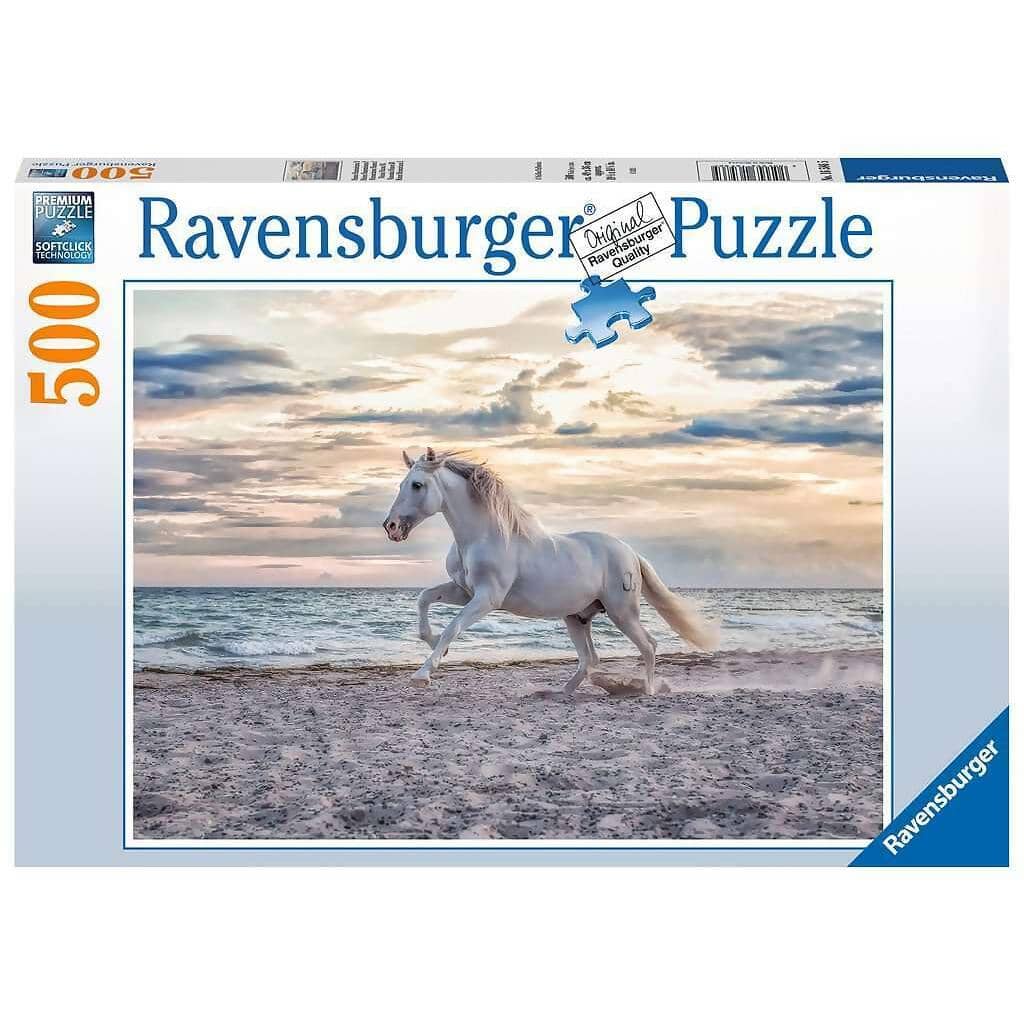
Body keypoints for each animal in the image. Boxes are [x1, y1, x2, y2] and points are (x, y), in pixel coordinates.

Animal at [382, 447, 718, 692]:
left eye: (417, 485)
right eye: (401, 484)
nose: (391, 527)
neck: (483, 536)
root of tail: (631, 553)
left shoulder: (487, 598)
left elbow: (453, 627)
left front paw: (423, 673)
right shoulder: (464, 591)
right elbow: (424, 599)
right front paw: (433, 644)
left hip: (622, 612)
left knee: (648, 646)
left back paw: (647, 691)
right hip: (577, 617)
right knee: (590, 659)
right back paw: (561, 692)